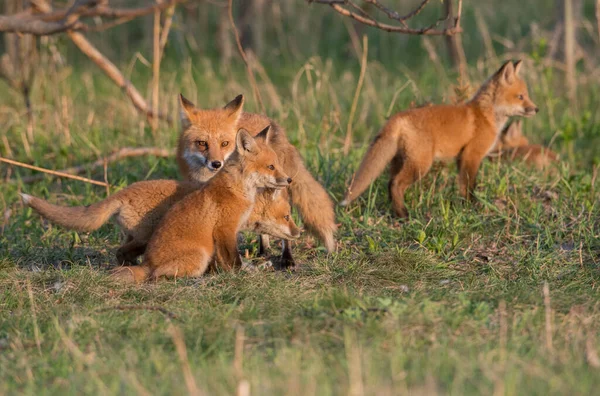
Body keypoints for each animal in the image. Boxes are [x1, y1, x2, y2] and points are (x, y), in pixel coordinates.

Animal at [113, 126, 292, 282]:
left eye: (278, 165)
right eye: (271, 167)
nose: (289, 179)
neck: (238, 191)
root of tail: (147, 264)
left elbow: (228, 260)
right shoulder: (225, 229)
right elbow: (234, 260)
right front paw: (239, 274)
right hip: (199, 255)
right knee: (155, 275)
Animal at [177, 94, 338, 264]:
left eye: (225, 144)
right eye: (202, 143)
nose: (216, 164)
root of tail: (271, 122)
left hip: (277, 185)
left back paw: (286, 258)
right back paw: (264, 250)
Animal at [342, 60, 540, 218]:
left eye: (526, 95)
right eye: (521, 96)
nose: (536, 109)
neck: (486, 116)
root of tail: (397, 117)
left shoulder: (462, 158)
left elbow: (463, 185)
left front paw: (465, 205)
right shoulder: (472, 155)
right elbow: (470, 185)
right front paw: (472, 206)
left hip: (398, 161)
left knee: (390, 183)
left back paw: (396, 212)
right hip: (420, 164)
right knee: (396, 184)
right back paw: (404, 215)